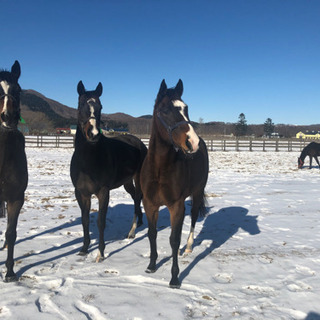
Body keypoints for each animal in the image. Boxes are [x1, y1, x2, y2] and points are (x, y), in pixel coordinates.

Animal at [70, 80, 148, 262]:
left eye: (100, 106)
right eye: (80, 105)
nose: (93, 134)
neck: (87, 162)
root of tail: (139, 143)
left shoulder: (103, 192)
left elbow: (100, 222)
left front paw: (100, 253)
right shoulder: (81, 193)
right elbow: (85, 220)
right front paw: (84, 249)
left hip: (138, 179)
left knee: (137, 199)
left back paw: (132, 231)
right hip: (127, 182)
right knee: (135, 198)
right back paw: (139, 223)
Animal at [141, 79, 209, 288]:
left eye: (186, 108)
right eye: (164, 110)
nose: (192, 142)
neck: (159, 169)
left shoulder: (176, 206)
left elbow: (173, 240)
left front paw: (174, 278)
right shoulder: (150, 204)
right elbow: (152, 233)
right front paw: (151, 266)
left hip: (197, 193)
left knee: (193, 218)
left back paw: (188, 248)